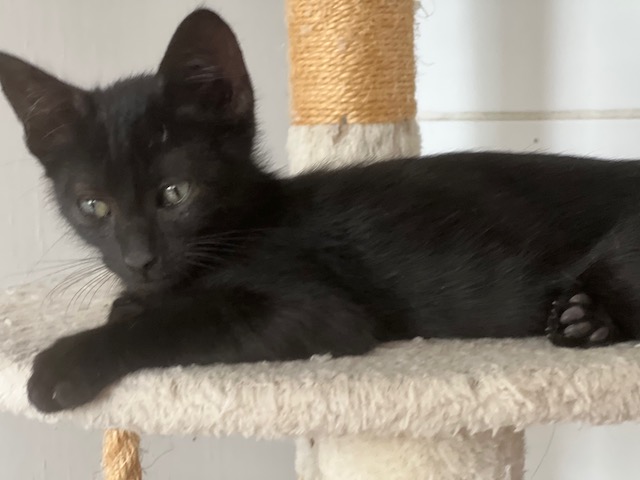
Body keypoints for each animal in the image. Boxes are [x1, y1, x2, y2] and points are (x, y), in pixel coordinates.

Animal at [1, 9, 639, 414]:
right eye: (93, 206)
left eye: (176, 193)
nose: (139, 259)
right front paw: (130, 300)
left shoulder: (314, 307)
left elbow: (181, 321)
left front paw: (67, 362)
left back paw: (587, 317)